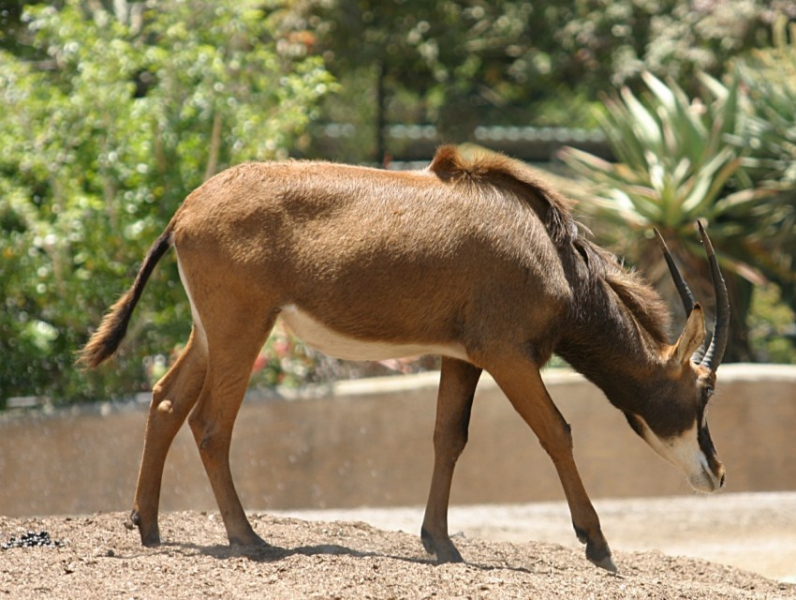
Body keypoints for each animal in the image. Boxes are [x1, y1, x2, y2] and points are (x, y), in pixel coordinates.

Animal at [79, 145, 728, 572]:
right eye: (702, 392)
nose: (717, 474)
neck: (553, 258)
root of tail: (184, 212)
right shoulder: (507, 354)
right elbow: (557, 431)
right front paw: (597, 544)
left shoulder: (462, 356)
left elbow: (449, 437)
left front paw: (440, 542)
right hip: (243, 327)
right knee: (211, 423)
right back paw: (248, 539)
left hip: (209, 331)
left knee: (166, 401)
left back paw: (148, 527)